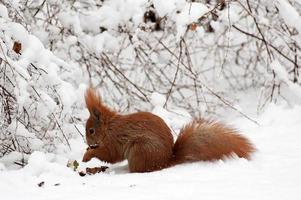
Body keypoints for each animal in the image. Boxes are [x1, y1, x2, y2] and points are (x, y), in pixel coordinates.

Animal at [81, 88, 253, 173]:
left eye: (91, 131)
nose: (88, 142)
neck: (109, 127)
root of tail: (165, 161)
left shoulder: (114, 141)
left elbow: (110, 155)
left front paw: (88, 154)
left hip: (140, 150)